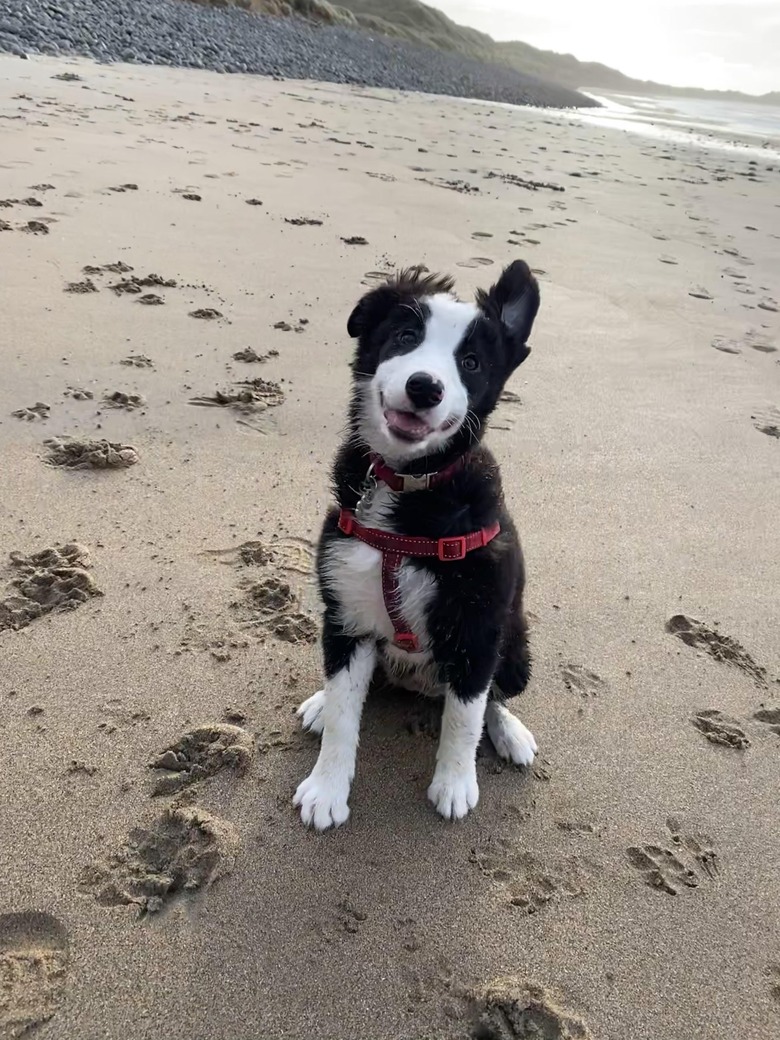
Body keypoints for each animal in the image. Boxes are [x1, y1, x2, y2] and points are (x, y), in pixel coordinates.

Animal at [295, 264, 540, 832]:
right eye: (406, 337)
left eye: (470, 363)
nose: (425, 387)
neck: (408, 488)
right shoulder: (347, 613)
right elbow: (344, 715)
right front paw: (326, 789)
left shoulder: (478, 628)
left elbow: (465, 718)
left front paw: (454, 785)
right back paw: (319, 701)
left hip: (515, 643)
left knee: (493, 696)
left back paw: (511, 733)